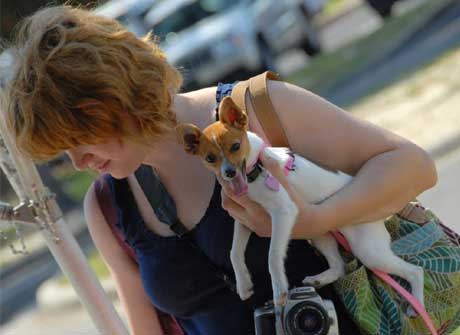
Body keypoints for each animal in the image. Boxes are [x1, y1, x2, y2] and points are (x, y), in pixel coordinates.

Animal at [175, 96, 424, 312]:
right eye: (210, 158)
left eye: (235, 146)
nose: (228, 173)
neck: (256, 171)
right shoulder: (244, 221)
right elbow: (234, 252)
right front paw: (243, 283)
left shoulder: (283, 213)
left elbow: (273, 255)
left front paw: (279, 290)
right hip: (320, 235)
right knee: (338, 266)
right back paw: (318, 279)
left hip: (368, 250)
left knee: (415, 271)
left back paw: (416, 304)